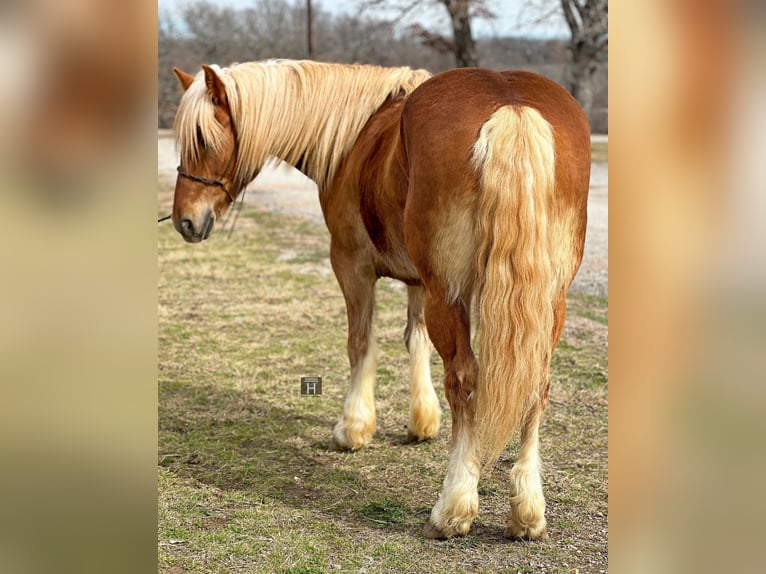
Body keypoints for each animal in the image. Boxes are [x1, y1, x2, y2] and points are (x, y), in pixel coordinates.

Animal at [171, 60, 592, 544]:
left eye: (202, 140)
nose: (185, 220)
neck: (355, 135)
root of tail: (511, 106)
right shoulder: (419, 281)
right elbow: (416, 340)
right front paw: (422, 421)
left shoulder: (351, 265)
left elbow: (361, 343)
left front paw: (353, 428)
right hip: (548, 301)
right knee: (536, 384)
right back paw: (527, 511)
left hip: (451, 293)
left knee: (465, 380)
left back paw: (454, 506)